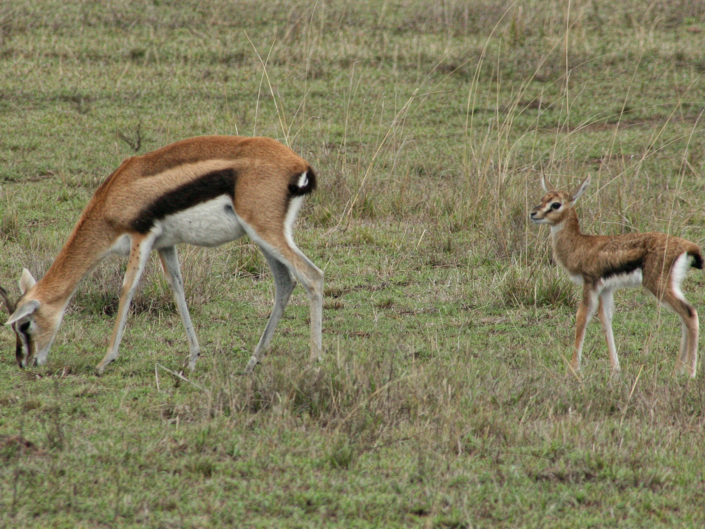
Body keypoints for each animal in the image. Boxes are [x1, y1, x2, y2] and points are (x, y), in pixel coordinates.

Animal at [2, 135, 323, 374]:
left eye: (24, 324)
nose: (24, 363)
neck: (114, 194)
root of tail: (299, 165)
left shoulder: (141, 238)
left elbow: (127, 289)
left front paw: (105, 361)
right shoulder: (165, 245)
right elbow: (177, 290)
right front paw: (192, 358)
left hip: (265, 232)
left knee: (313, 276)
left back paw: (313, 363)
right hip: (262, 237)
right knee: (285, 281)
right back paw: (252, 362)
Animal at [530, 176, 702, 378]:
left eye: (556, 204)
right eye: (543, 198)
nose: (533, 214)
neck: (580, 245)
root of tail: (687, 246)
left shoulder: (590, 284)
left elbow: (582, 317)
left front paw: (573, 369)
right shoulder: (606, 289)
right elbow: (606, 320)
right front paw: (615, 370)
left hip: (658, 286)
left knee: (690, 313)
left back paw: (690, 373)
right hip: (670, 287)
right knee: (684, 316)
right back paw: (677, 371)